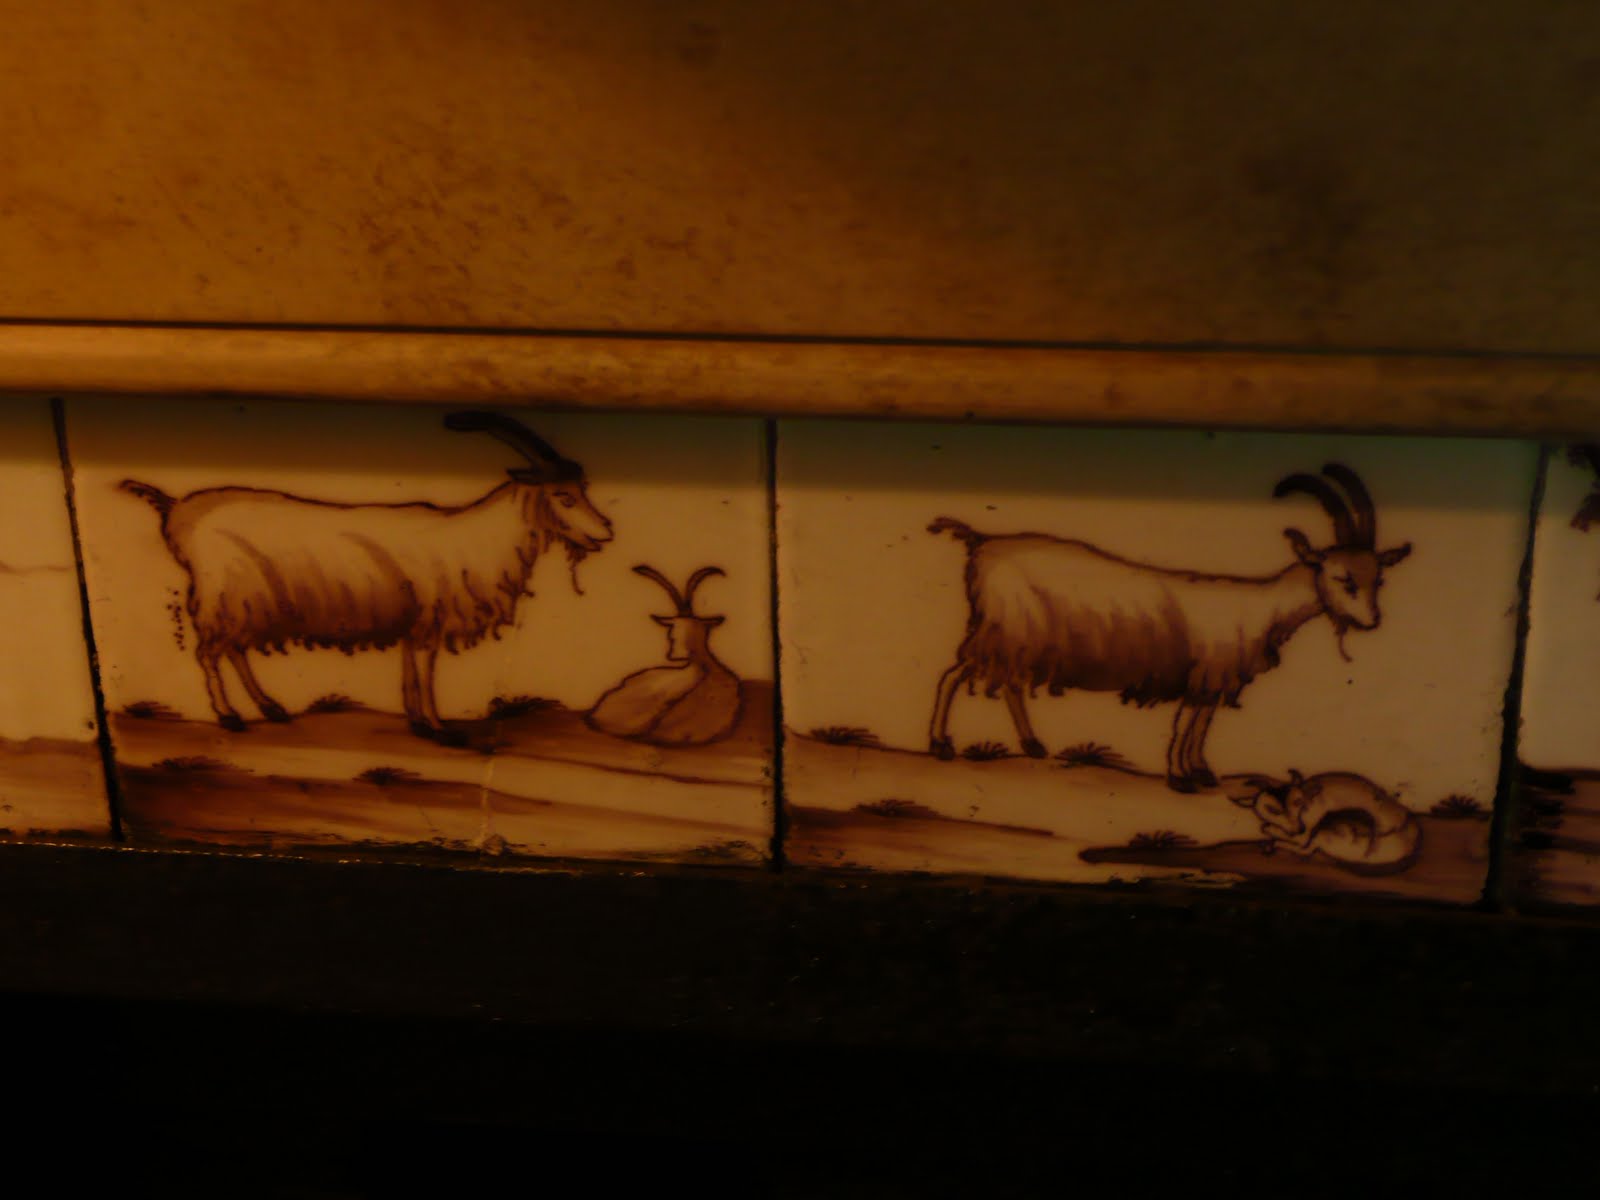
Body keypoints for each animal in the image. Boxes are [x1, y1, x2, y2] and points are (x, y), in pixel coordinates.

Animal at [120, 411, 613, 746]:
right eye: (564, 497)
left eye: (583, 489)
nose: (607, 531)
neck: (477, 538)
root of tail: (177, 511)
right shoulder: (430, 620)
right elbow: (426, 673)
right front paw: (441, 729)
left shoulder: (413, 622)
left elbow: (409, 673)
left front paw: (418, 723)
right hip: (222, 596)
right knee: (208, 654)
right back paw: (229, 717)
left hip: (244, 603)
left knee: (234, 651)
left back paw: (272, 707)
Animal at [927, 463, 1412, 792]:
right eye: (1342, 577)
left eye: (1379, 579)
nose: (1373, 622)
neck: (1259, 606)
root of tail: (981, 542)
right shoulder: (1204, 671)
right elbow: (1184, 724)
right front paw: (1180, 777)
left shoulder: (1213, 678)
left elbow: (1201, 724)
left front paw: (1201, 771)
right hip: (1004, 629)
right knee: (953, 675)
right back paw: (940, 745)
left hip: (1020, 636)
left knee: (1009, 685)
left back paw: (1032, 745)